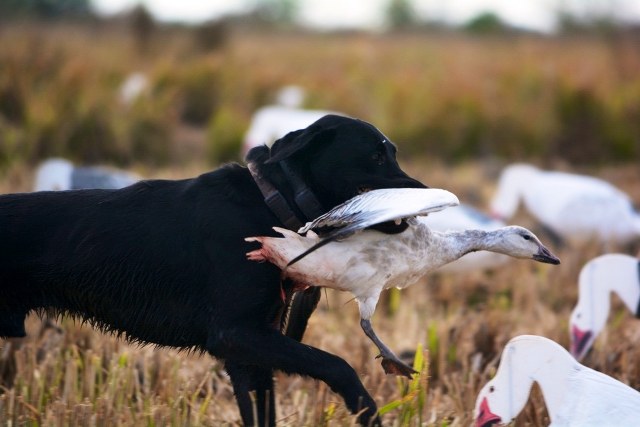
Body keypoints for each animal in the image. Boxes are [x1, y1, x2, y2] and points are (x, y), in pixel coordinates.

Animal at [0, 115, 424, 426]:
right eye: (376, 157)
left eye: (393, 153)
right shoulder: (235, 334)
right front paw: (367, 410)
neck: (270, 205)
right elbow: (338, 365)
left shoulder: (251, 352)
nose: (425, 193)